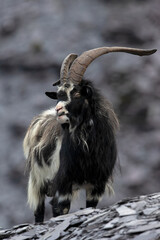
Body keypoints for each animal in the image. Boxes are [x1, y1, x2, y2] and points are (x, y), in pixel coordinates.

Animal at [23, 46, 156, 222]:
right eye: (58, 95)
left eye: (77, 94)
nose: (58, 110)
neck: (89, 150)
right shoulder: (63, 183)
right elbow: (60, 209)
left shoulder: (96, 185)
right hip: (37, 181)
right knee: (39, 212)